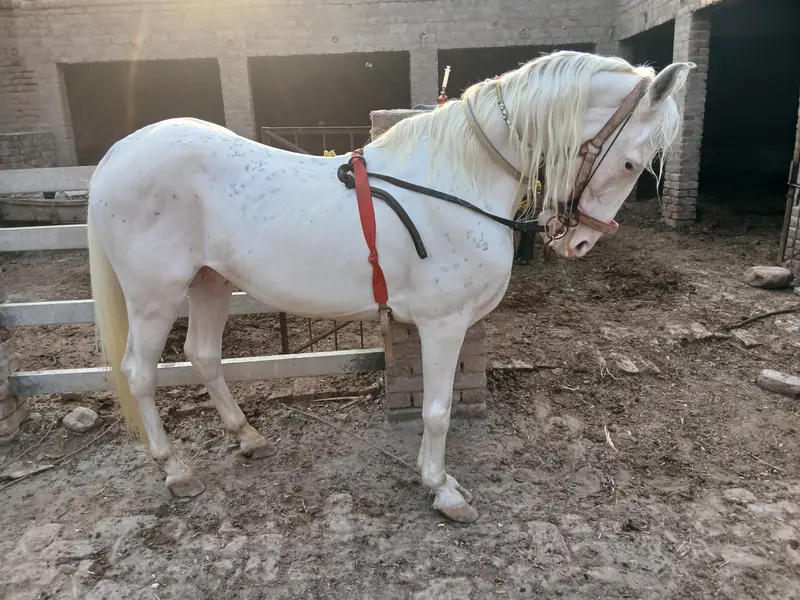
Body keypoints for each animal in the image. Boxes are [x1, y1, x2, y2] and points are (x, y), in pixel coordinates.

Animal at [87, 50, 694, 523]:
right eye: (634, 163)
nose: (580, 243)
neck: (459, 176)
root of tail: (117, 154)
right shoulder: (443, 323)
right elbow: (437, 410)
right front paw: (442, 489)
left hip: (209, 283)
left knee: (204, 355)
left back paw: (248, 437)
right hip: (154, 297)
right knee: (140, 373)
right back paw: (175, 471)